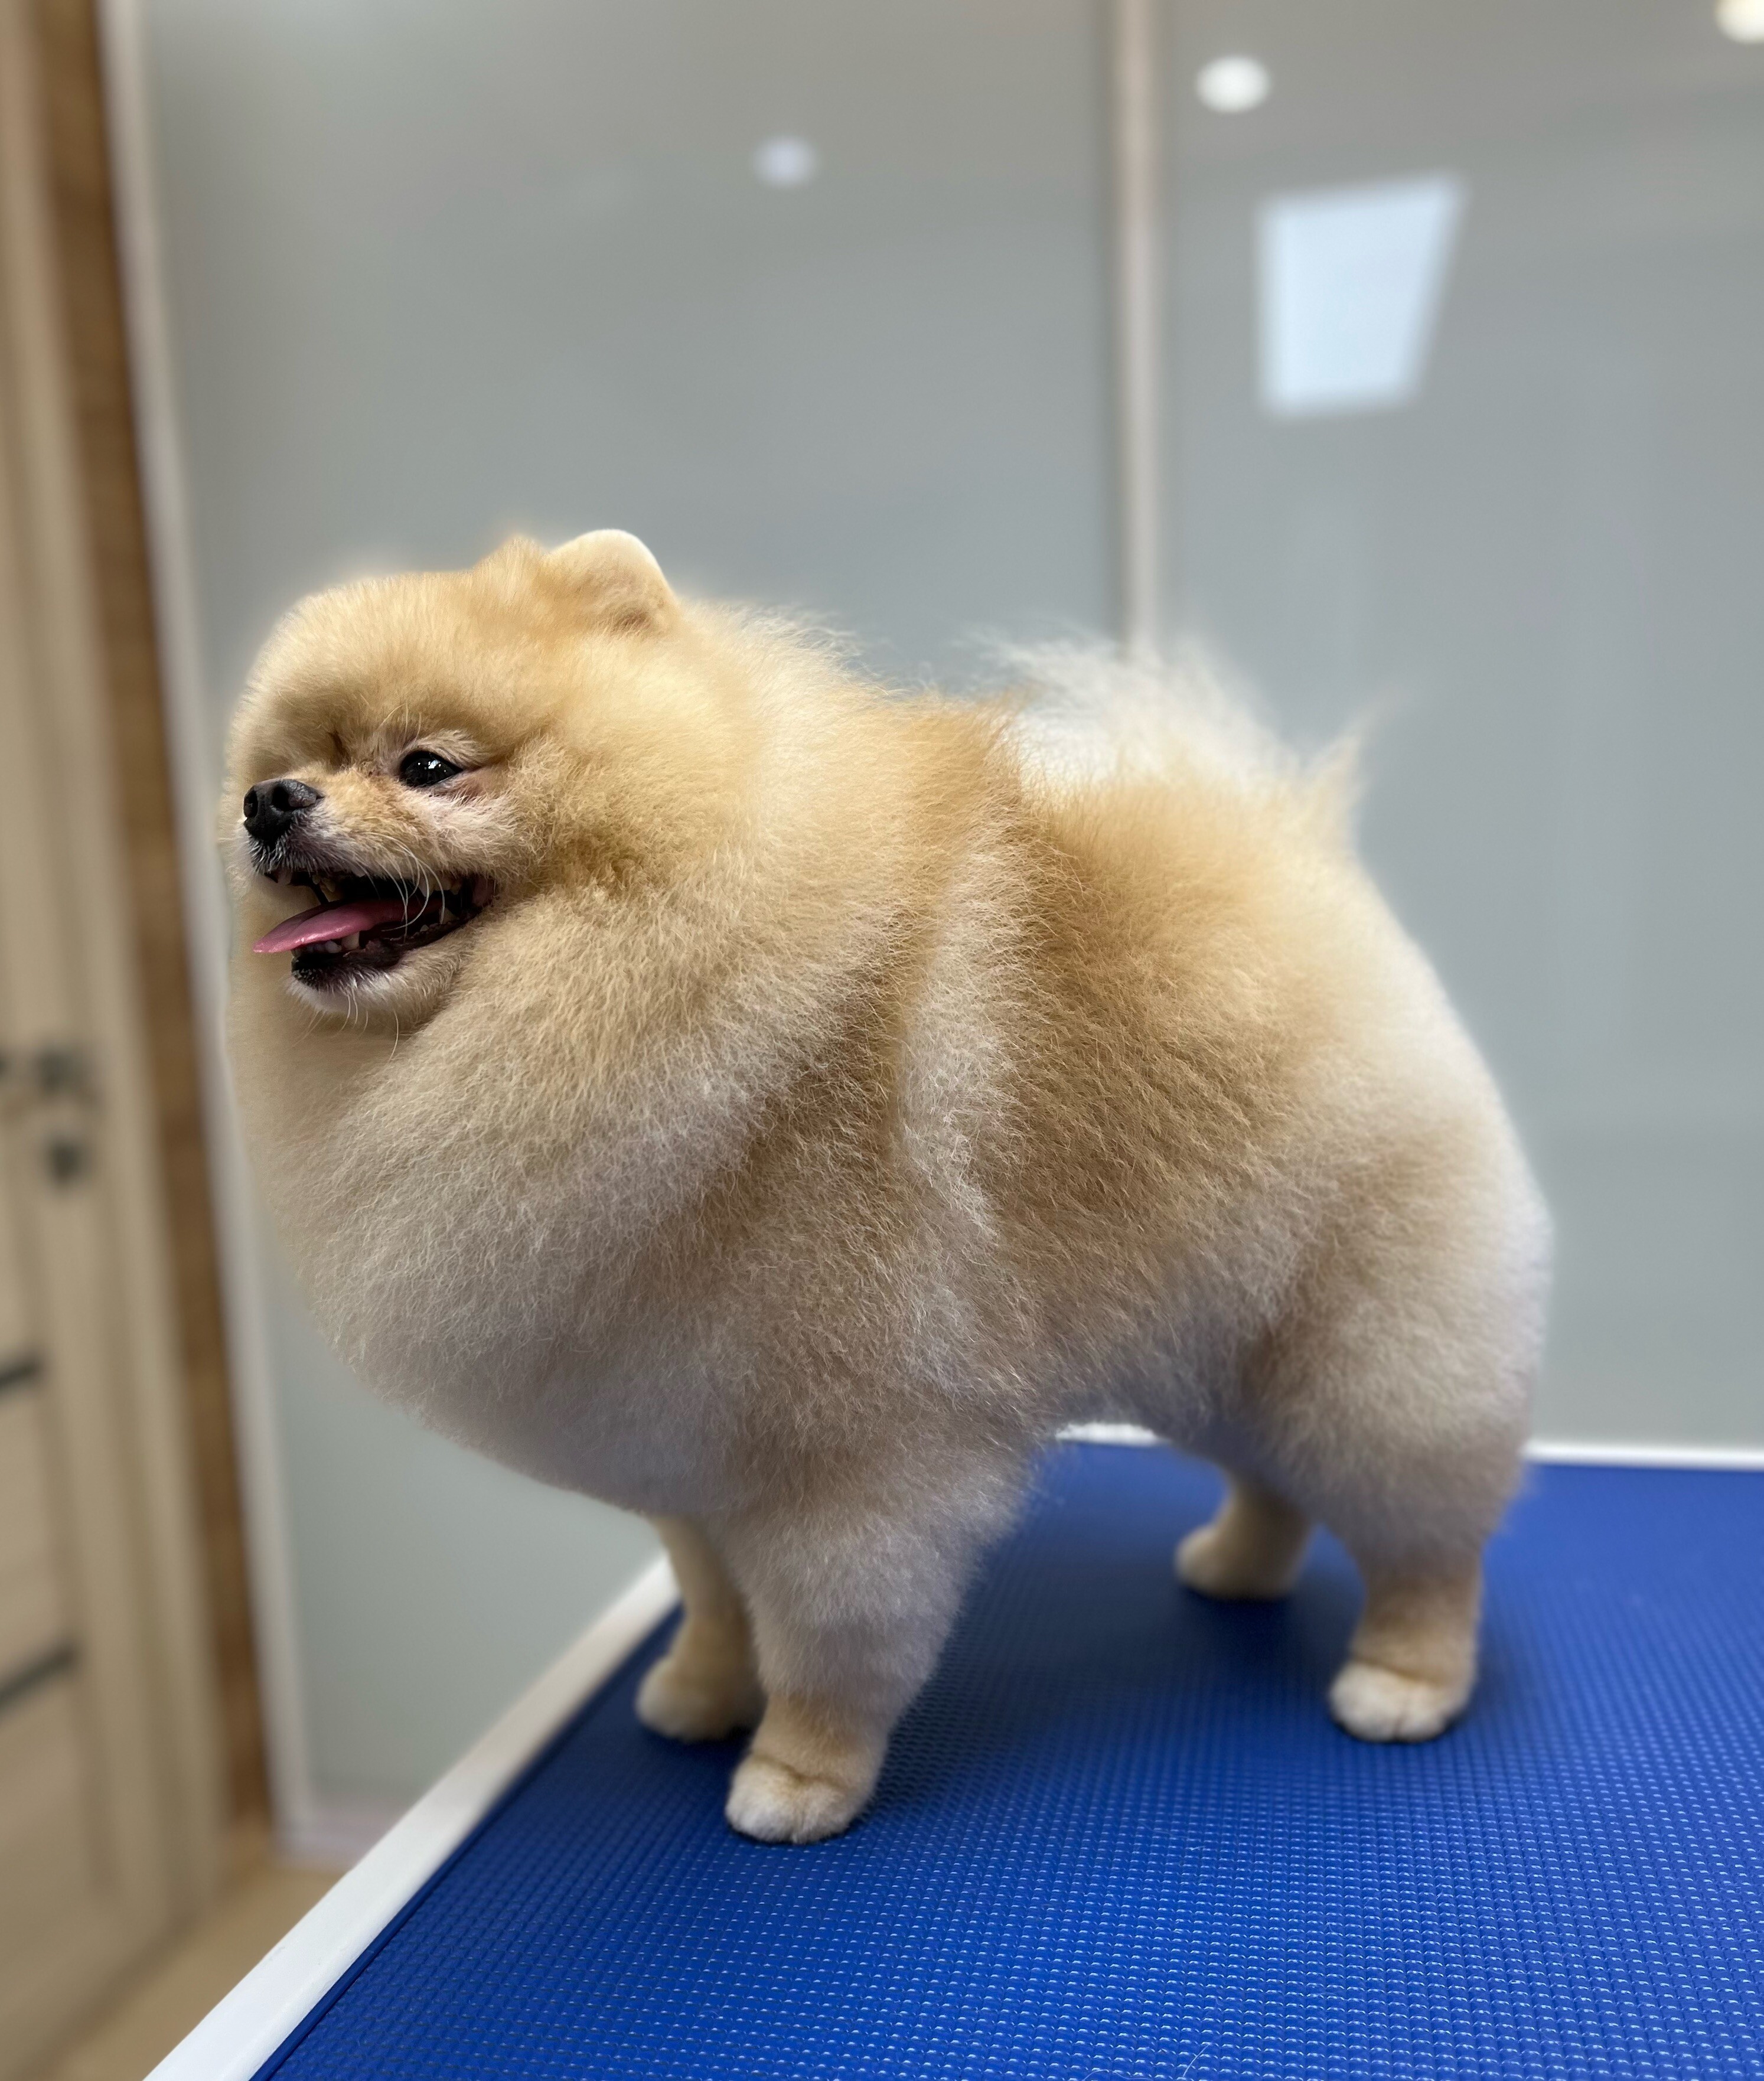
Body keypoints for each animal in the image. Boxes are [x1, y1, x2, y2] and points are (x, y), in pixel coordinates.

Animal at [224, 529, 1550, 1842]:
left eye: (427, 765)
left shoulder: (852, 1458)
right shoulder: (682, 1436)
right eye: (288, 764)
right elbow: (710, 1596)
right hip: (1224, 1334)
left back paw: (1402, 1676)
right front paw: (699, 1691)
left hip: (1364, 1339)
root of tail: (1300, 867)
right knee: (1271, 1473)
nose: (267, 803)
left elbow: (827, 1638)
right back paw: (1235, 1563)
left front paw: (797, 1773)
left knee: (1424, 1529)